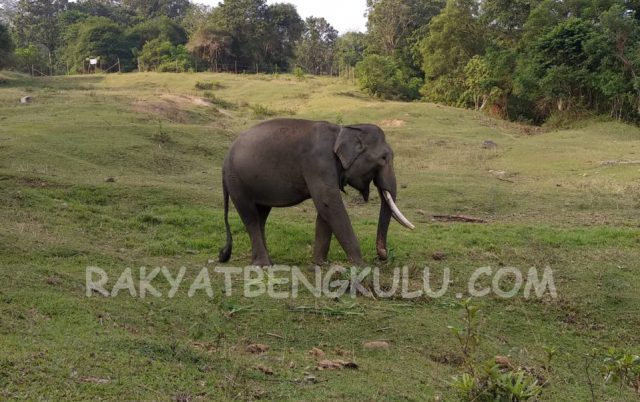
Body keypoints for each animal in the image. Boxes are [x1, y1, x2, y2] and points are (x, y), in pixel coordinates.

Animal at [216, 118, 416, 266]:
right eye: (383, 158)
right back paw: (264, 265)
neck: (342, 130)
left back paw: (266, 262)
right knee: (250, 216)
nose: (383, 256)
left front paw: (320, 264)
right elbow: (328, 202)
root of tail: (224, 162)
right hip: (237, 181)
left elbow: (325, 209)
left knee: (261, 215)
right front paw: (361, 265)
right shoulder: (318, 162)